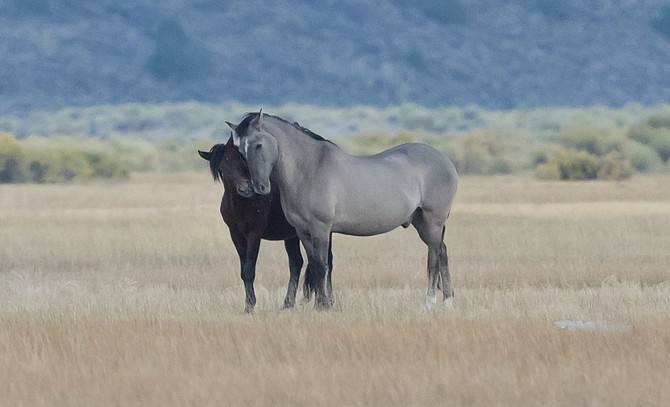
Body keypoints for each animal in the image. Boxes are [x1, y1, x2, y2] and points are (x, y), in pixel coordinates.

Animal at [197, 135, 334, 312]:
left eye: (242, 161)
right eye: (222, 168)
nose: (245, 189)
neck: (241, 204)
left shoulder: (254, 234)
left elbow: (249, 269)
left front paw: (250, 306)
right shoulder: (236, 235)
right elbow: (243, 270)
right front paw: (248, 304)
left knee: (325, 262)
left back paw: (327, 300)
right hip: (291, 236)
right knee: (297, 263)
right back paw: (288, 303)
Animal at [228, 111, 460, 310]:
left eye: (258, 145)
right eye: (239, 151)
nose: (259, 187)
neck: (308, 169)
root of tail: (446, 161)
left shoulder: (321, 229)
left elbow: (321, 266)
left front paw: (322, 306)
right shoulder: (303, 232)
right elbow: (314, 265)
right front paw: (323, 303)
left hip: (432, 221)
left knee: (433, 257)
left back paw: (430, 303)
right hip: (421, 222)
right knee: (442, 252)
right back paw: (448, 301)